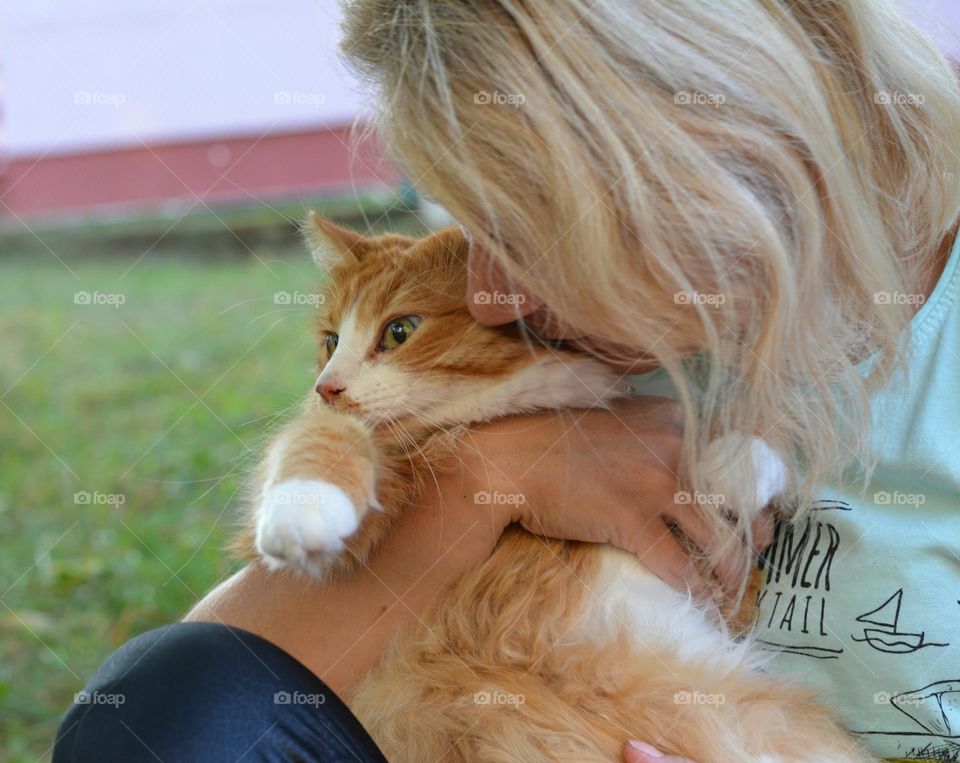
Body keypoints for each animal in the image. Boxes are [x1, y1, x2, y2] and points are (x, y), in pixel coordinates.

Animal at [242, 216, 876, 763]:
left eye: (399, 331)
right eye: (331, 341)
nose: (327, 387)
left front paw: (734, 460)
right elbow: (320, 439)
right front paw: (302, 510)